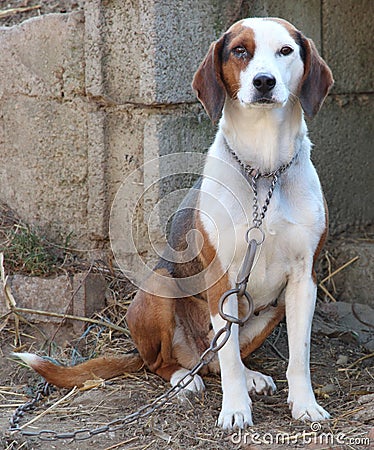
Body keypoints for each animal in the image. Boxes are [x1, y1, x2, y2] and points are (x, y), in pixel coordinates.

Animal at [16, 17, 334, 430]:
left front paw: (305, 405)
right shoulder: (221, 279)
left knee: (218, 358)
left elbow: (299, 356)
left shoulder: (303, 279)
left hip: (271, 309)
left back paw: (247, 376)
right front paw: (235, 410)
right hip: (161, 287)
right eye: (240, 51)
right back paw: (184, 378)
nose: (264, 81)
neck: (263, 172)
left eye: (286, 51)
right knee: (168, 362)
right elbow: (230, 361)